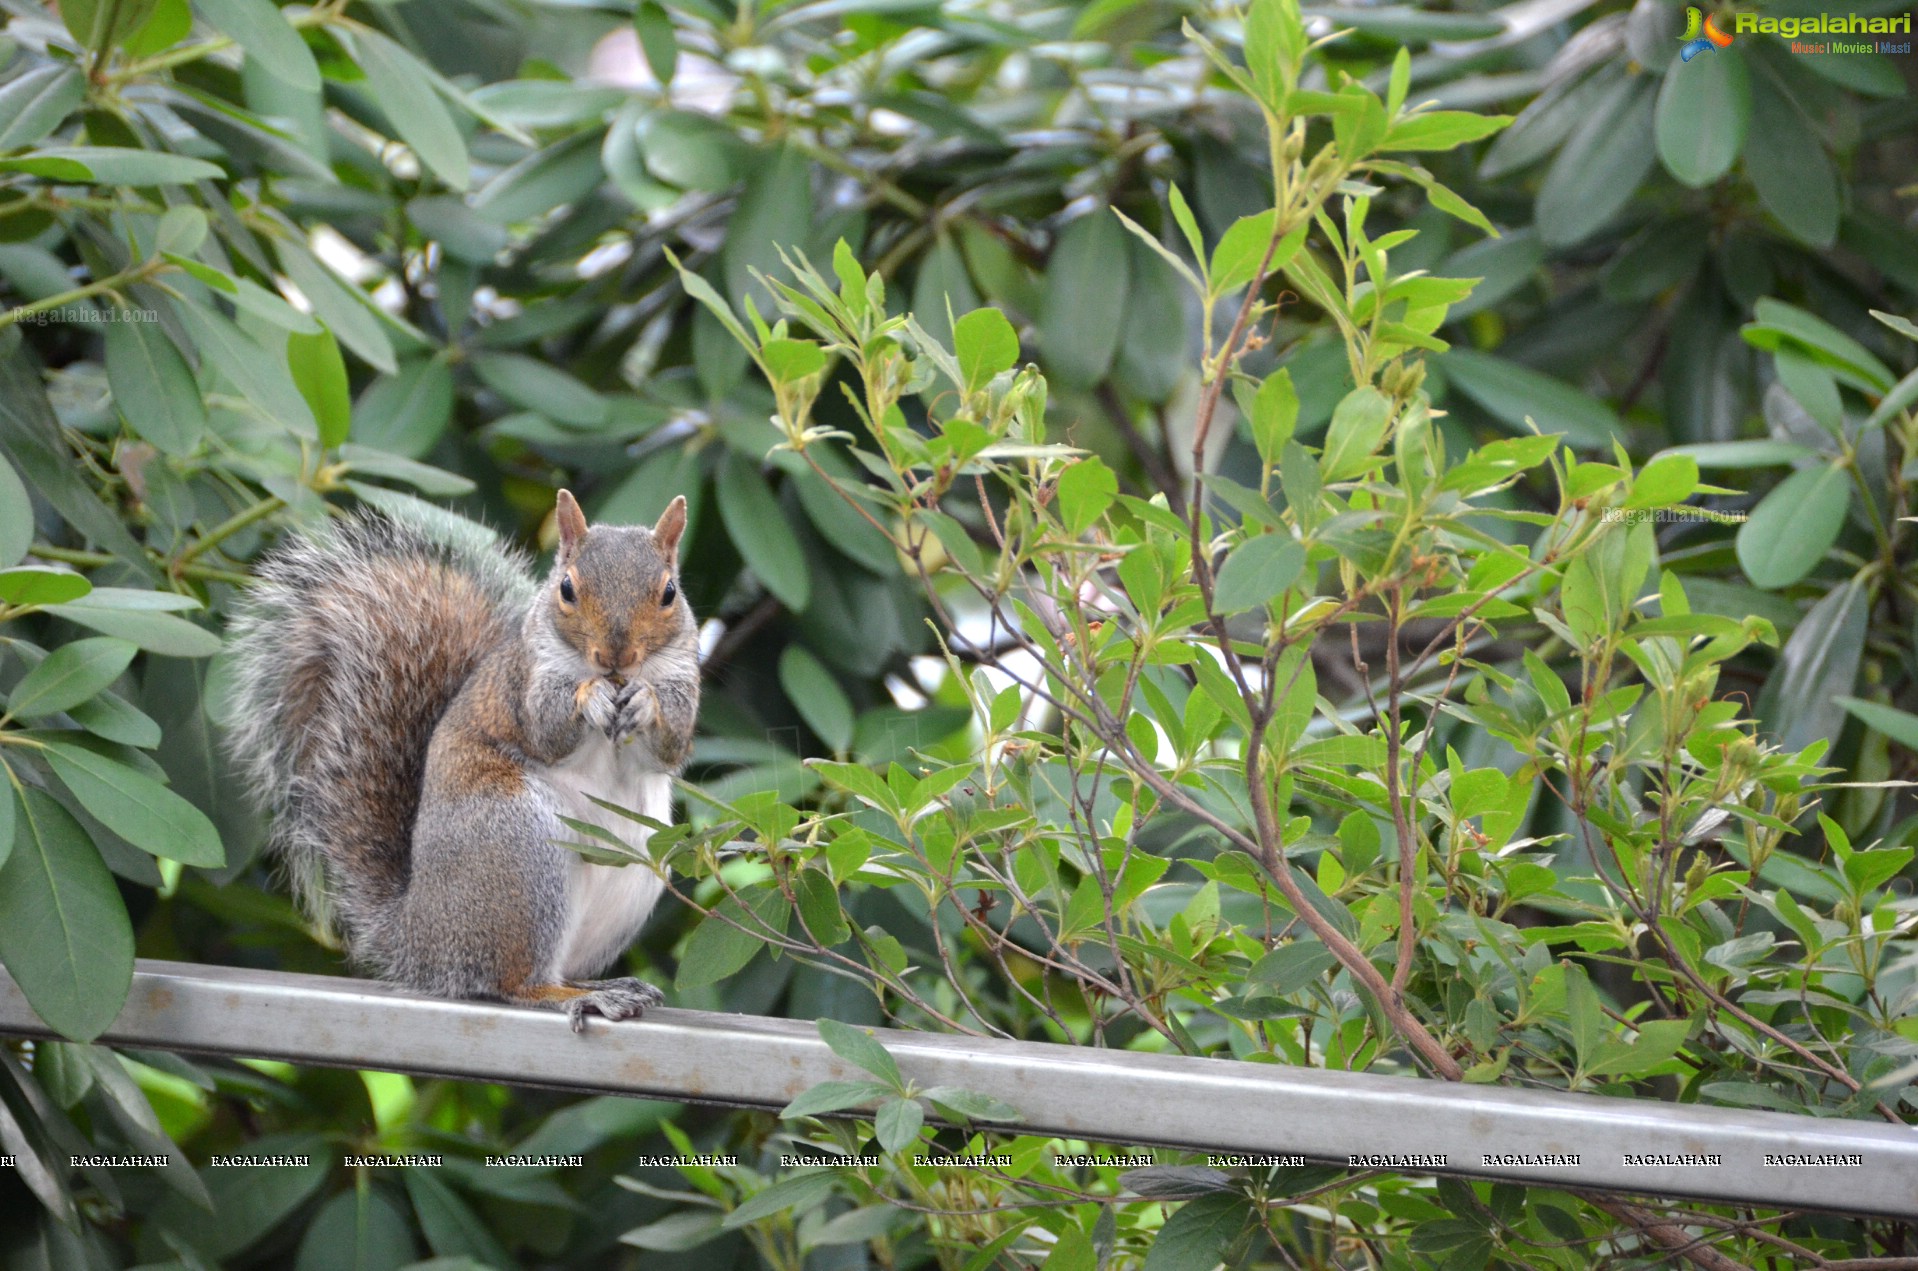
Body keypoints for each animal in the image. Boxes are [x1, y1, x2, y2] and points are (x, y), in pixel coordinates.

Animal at [224, 488, 701, 1035]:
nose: (615, 657)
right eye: (566, 588)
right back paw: (579, 995)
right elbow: (546, 729)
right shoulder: (524, 683)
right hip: (517, 851)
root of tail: (420, 940)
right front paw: (591, 697)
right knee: (513, 982)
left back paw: (600, 985)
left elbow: (672, 745)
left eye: (669, 593)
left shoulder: (683, 680)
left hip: (635, 869)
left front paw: (645, 701)